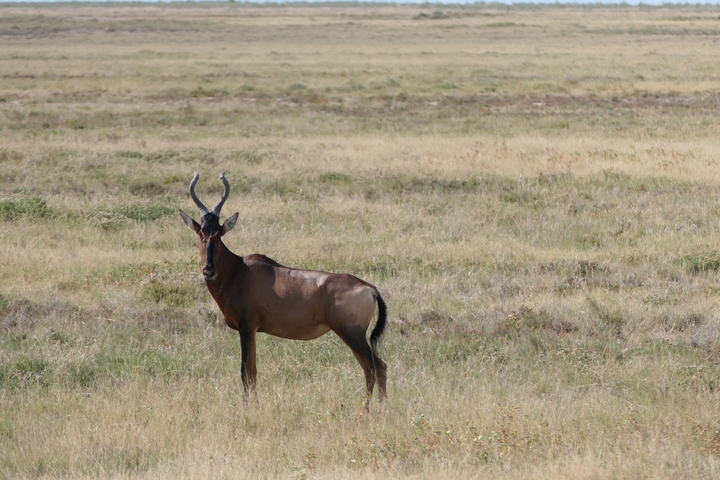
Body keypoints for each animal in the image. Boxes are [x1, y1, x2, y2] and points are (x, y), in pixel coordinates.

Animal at [179, 172, 388, 410]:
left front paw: (248, 408)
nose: (208, 270)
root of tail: (370, 289)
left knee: (376, 368)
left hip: (352, 334)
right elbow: (252, 371)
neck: (239, 270)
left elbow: (246, 373)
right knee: (373, 368)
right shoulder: (252, 330)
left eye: (218, 234)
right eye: (201, 233)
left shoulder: (246, 327)